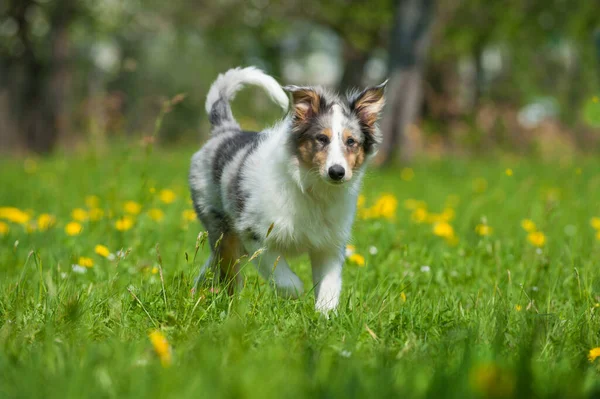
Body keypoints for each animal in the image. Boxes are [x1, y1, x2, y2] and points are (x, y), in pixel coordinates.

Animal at [190, 67, 386, 314]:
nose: (337, 172)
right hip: (223, 229)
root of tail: (225, 130)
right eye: (321, 138)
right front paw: (295, 294)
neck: (312, 188)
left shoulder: (329, 245)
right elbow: (284, 277)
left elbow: (329, 285)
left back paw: (196, 291)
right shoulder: (254, 235)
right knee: (229, 273)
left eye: (351, 142)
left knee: (212, 264)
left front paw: (325, 315)